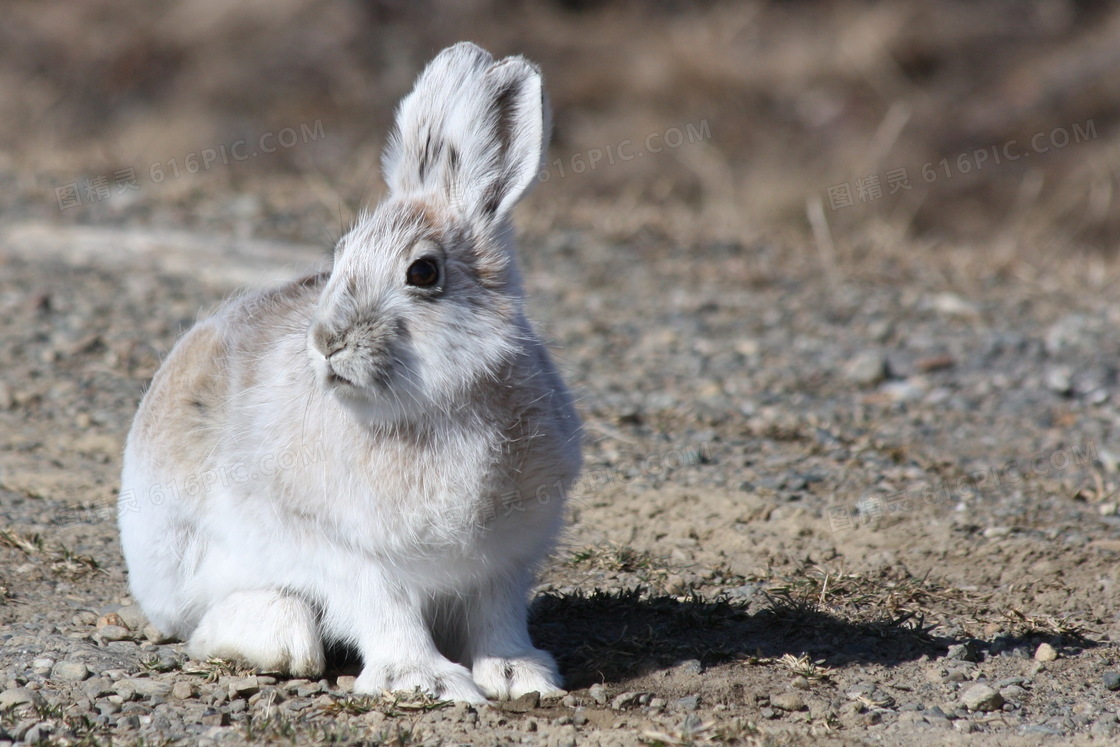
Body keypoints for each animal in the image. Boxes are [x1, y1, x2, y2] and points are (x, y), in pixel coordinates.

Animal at [118, 43, 582, 703]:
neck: (430, 408)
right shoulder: (340, 548)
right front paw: (425, 681)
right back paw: (280, 638)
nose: (326, 342)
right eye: (339, 259)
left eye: (423, 272)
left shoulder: (506, 557)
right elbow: (384, 607)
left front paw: (521, 675)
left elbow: (497, 615)